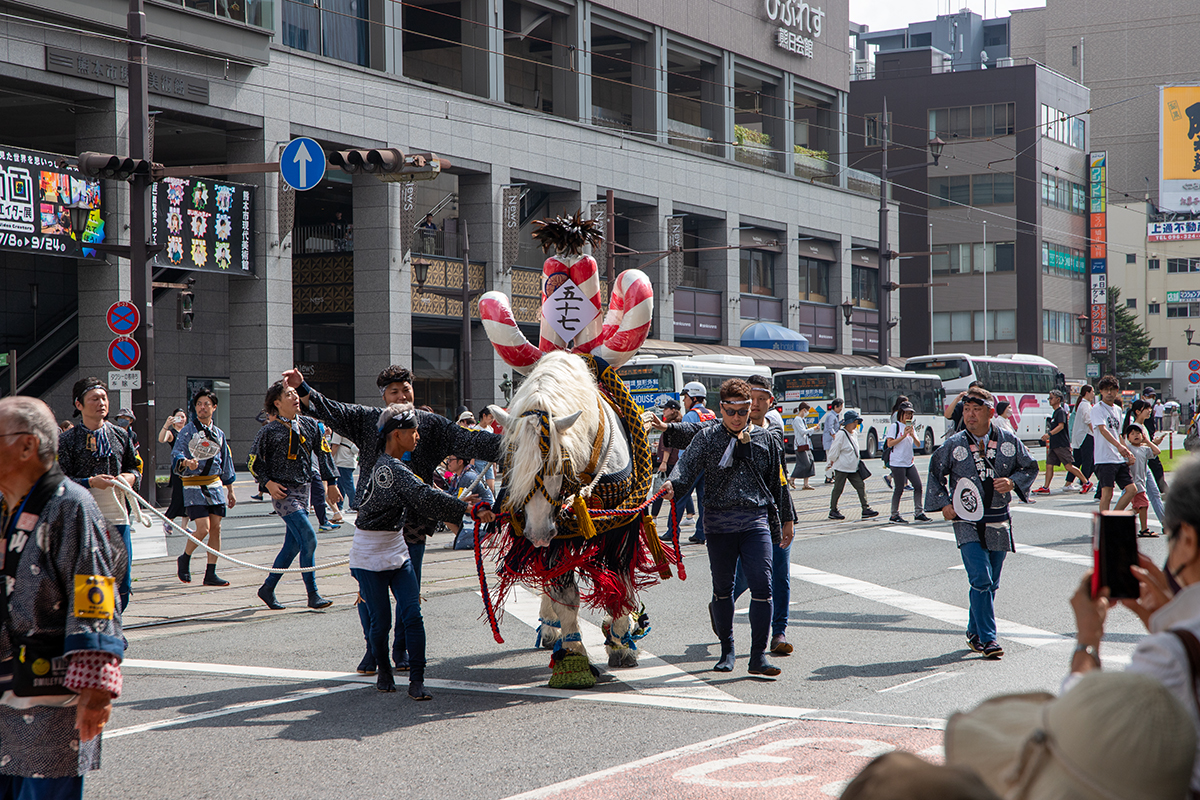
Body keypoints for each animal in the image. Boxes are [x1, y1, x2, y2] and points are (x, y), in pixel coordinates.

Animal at [477, 212, 686, 690]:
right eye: (509, 467)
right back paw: (550, 629)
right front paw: (572, 654)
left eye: (560, 464)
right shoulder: (557, 536)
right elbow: (563, 590)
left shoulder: (619, 525)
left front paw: (621, 642)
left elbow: (619, 580)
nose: (538, 531)